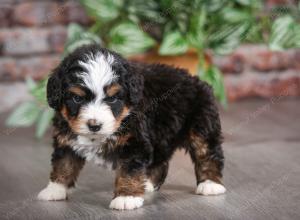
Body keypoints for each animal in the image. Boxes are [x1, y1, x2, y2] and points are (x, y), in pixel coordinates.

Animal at [37, 44, 225, 210]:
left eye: (112, 98)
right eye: (77, 99)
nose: (94, 125)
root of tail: (198, 81)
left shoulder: (135, 143)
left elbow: (129, 170)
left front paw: (126, 197)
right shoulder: (66, 140)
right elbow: (64, 164)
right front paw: (55, 189)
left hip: (201, 126)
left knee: (207, 153)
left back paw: (210, 184)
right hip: (161, 134)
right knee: (160, 161)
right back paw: (148, 184)